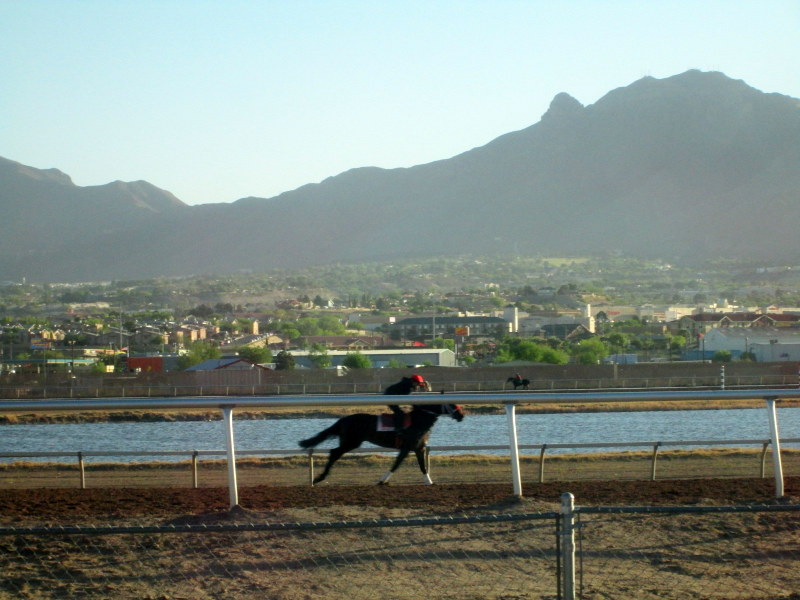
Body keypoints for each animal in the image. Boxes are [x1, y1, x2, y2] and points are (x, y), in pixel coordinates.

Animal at [298, 403, 464, 485]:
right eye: (451, 404)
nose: (461, 415)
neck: (418, 421)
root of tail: (343, 419)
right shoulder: (406, 447)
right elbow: (396, 464)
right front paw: (382, 480)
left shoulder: (418, 448)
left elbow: (422, 466)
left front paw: (429, 481)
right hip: (352, 442)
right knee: (334, 452)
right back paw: (319, 478)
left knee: (334, 452)